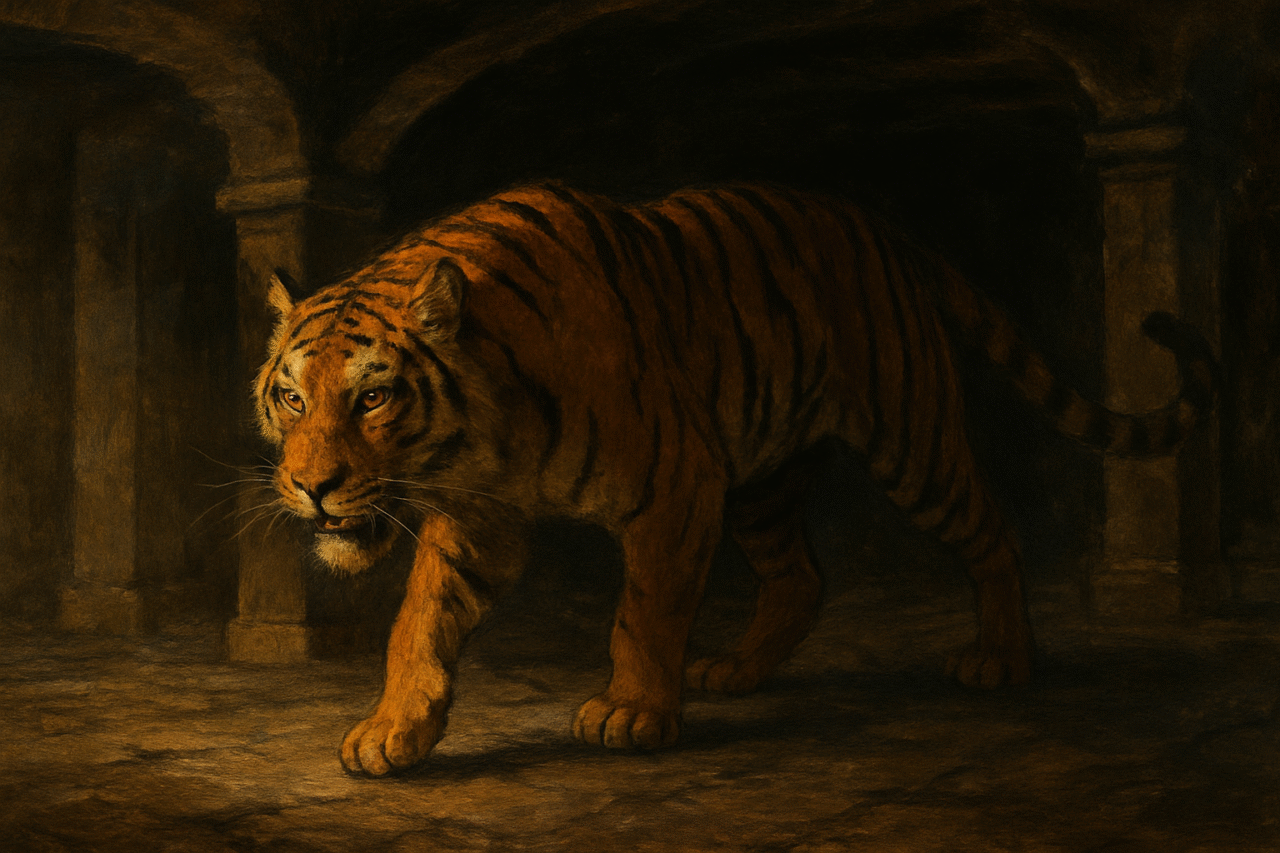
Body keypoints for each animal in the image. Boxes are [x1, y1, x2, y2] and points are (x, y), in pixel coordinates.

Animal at [254, 181, 1216, 777]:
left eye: (374, 396)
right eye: (292, 397)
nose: (311, 486)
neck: (481, 431)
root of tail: (884, 230)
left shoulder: (676, 485)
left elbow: (644, 611)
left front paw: (632, 714)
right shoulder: (479, 518)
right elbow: (419, 620)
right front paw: (393, 732)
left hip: (912, 443)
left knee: (991, 531)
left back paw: (1004, 658)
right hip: (765, 479)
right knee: (802, 575)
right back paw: (739, 669)